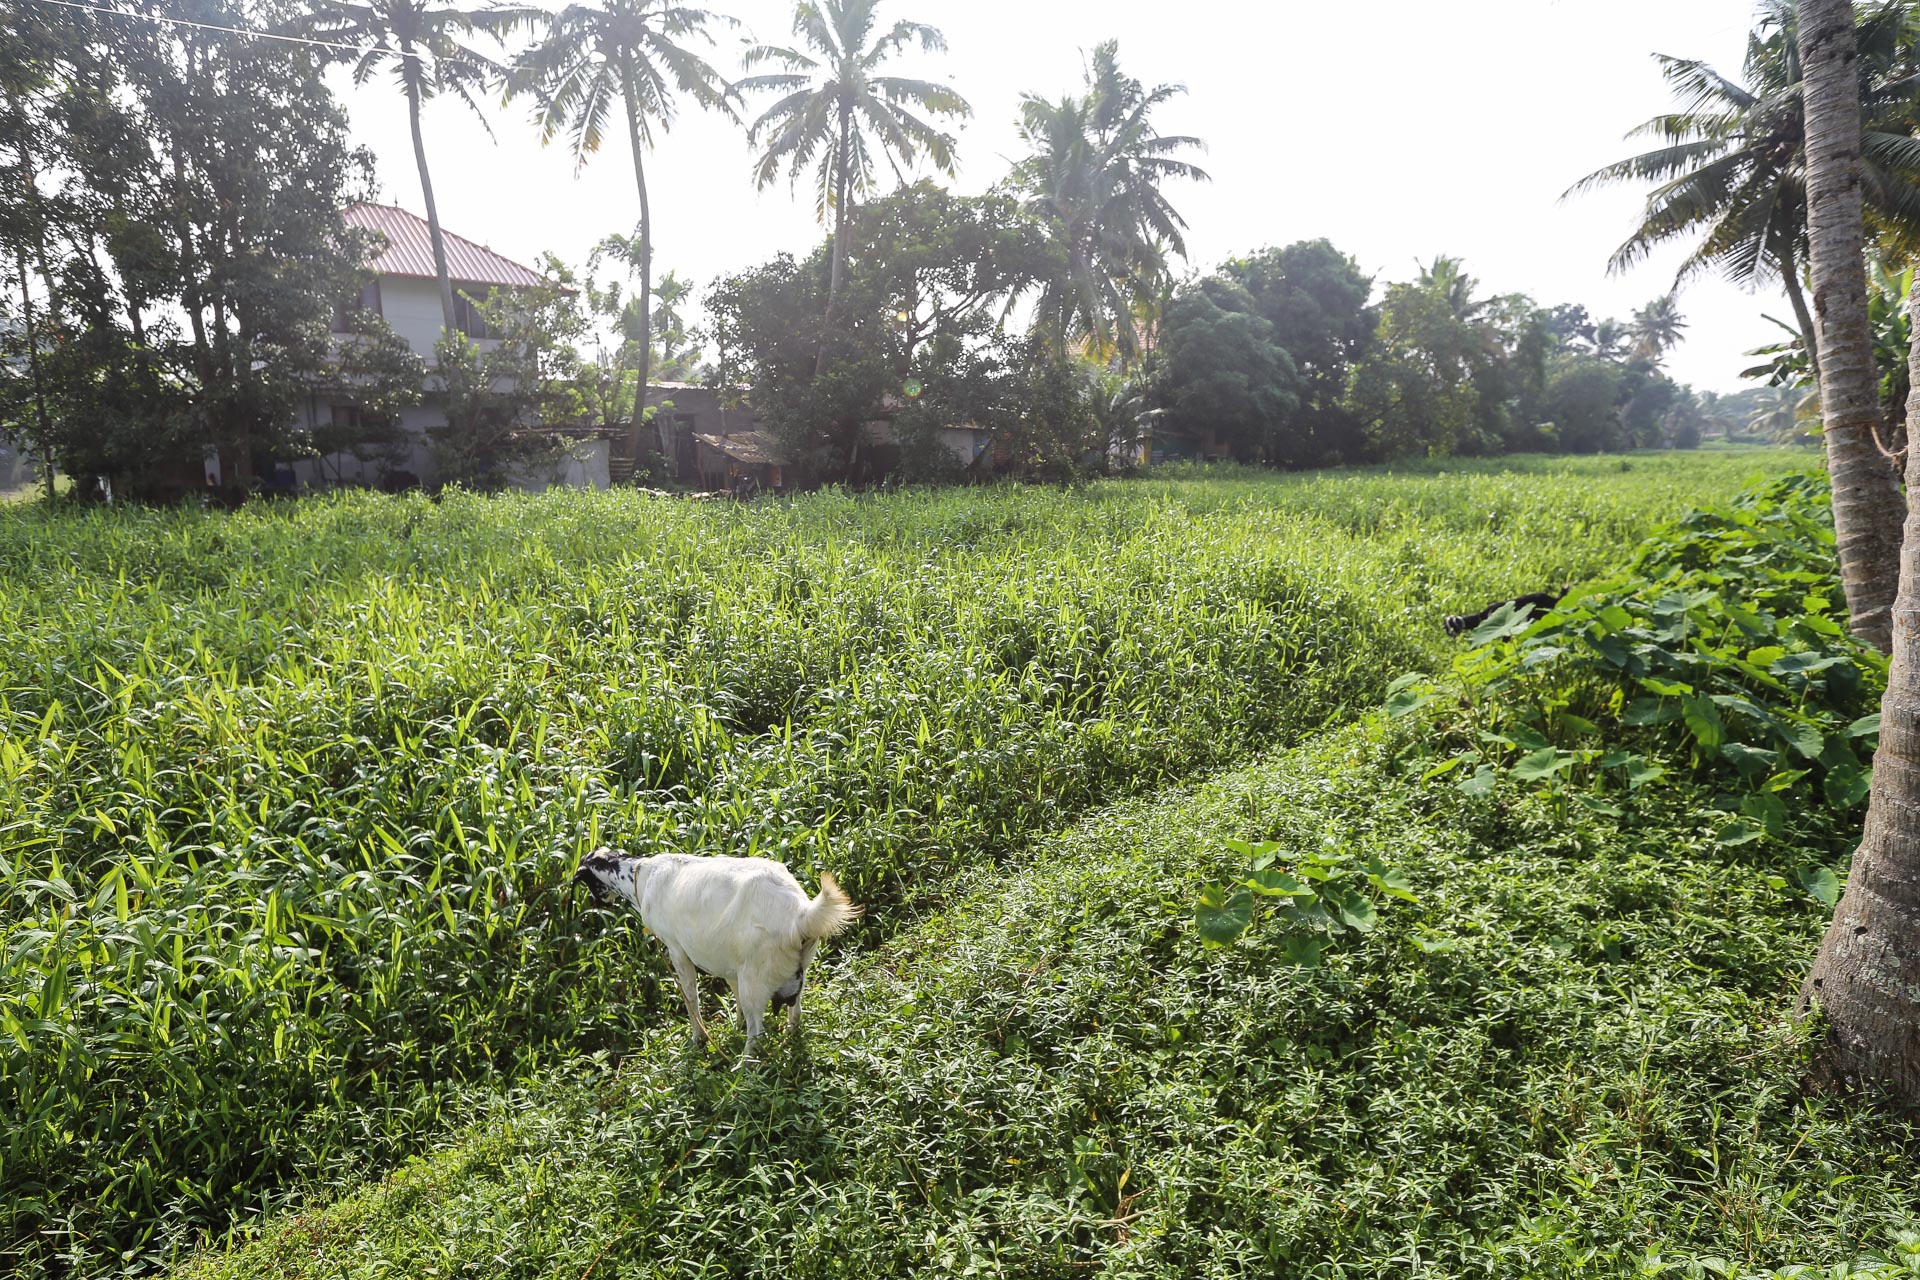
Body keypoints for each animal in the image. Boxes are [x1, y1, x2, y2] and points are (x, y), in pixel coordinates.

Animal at [572, 852, 860, 1051]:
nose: (596, 903)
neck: (640, 876)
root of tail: (799, 914)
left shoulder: (677, 951)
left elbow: (691, 999)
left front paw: (697, 1039)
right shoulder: (729, 962)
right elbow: (734, 995)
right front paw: (736, 1026)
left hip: (755, 977)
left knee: (757, 1033)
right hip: (792, 970)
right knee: (795, 1013)